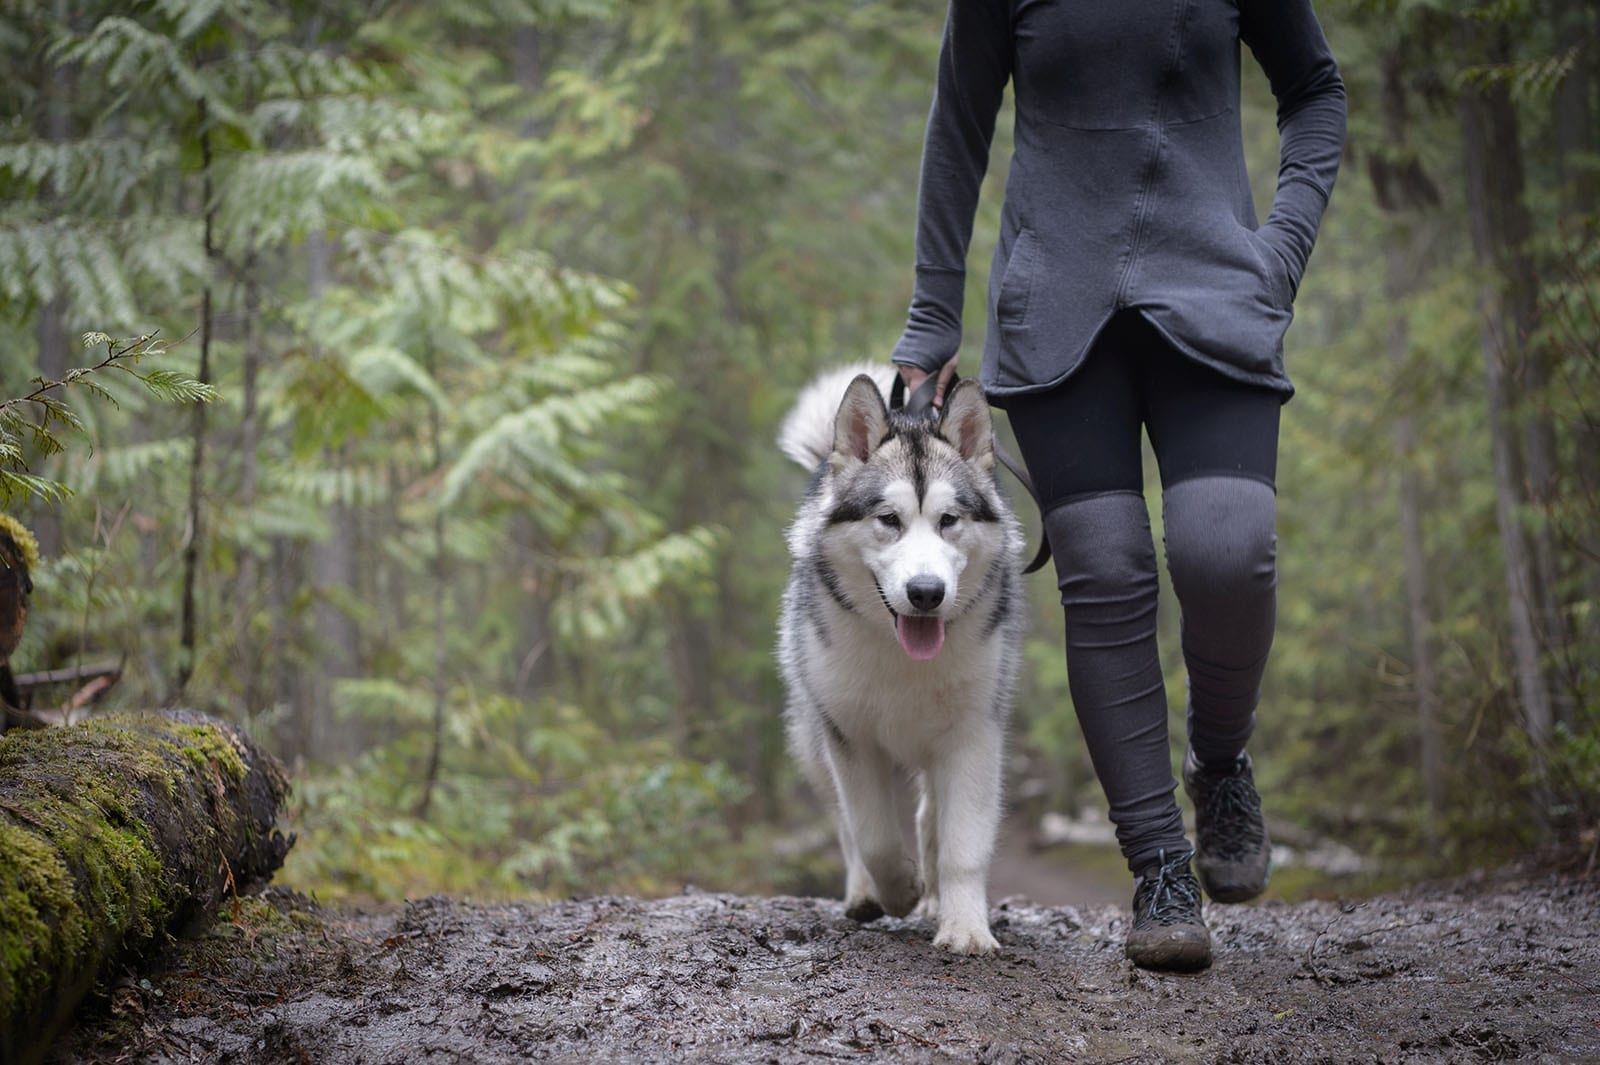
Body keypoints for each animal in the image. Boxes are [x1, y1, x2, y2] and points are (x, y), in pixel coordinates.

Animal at [777, 367, 1024, 953]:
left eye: (949, 520)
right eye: (889, 519)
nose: (926, 592)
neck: (903, 659)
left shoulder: (975, 736)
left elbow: (962, 845)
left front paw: (964, 926)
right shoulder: (849, 736)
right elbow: (872, 836)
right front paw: (898, 890)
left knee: (930, 814)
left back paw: (936, 898)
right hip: (814, 739)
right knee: (846, 823)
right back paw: (868, 895)